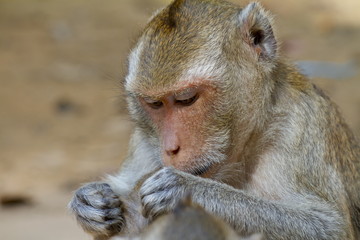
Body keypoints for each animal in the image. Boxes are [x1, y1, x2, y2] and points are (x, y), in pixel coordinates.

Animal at [68, 0, 360, 239]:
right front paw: (89, 202)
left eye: (186, 99)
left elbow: (328, 228)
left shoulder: (300, 125)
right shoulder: (145, 138)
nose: (170, 148)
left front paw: (188, 189)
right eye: (155, 104)